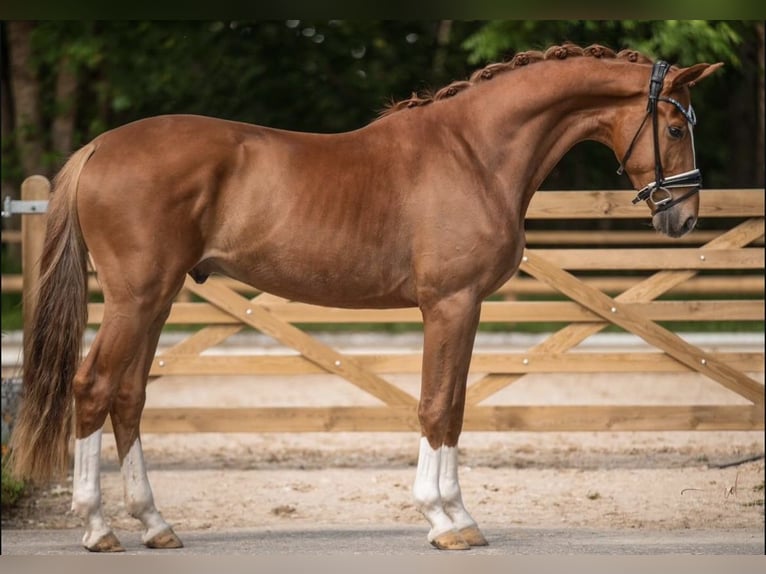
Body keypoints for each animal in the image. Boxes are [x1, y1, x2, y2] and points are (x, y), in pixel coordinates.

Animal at [9, 42, 724, 552]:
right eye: (677, 127)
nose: (683, 217)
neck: (474, 153)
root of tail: (101, 147)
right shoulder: (452, 303)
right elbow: (440, 406)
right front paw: (449, 520)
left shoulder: (459, 307)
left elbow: (451, 405)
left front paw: (450, 514)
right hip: (135, 298)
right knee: (93, 388)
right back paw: (99, 528)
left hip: (155, 301)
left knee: (129, 396)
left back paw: (156, 524)